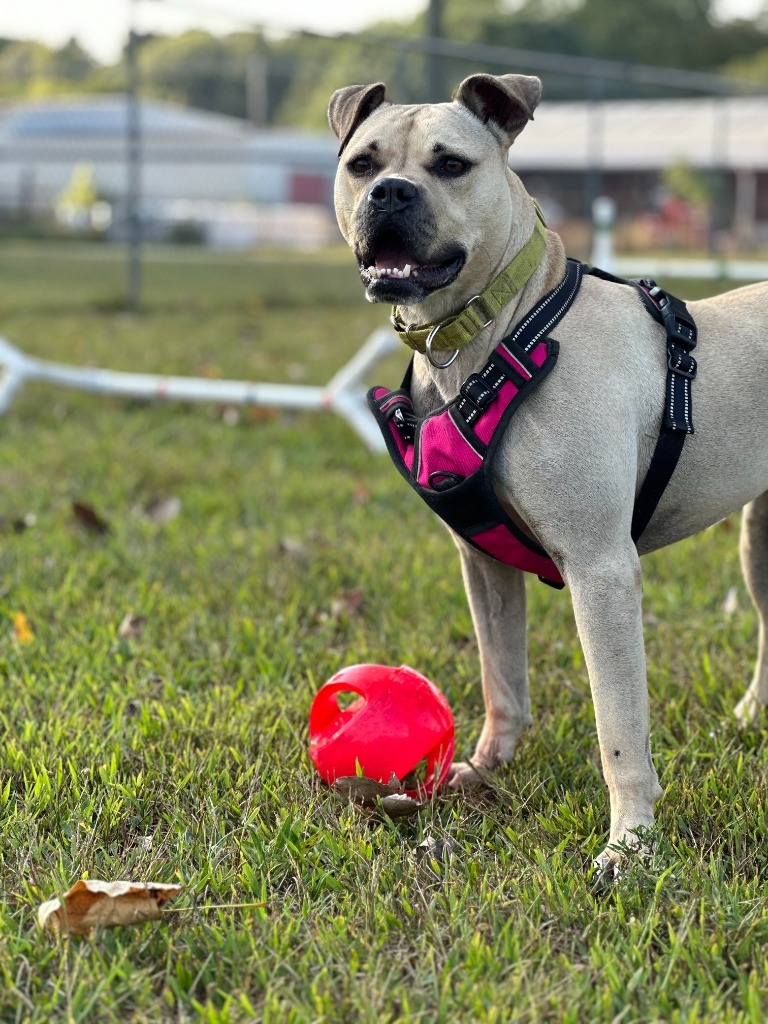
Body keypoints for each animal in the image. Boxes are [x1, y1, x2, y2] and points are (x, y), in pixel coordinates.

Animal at [327, 74, 768, 872]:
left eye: (451, 165)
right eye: (362, 164)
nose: (391, 194)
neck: (498, 332)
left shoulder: (601, 570)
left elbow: (619, 728)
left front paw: (631, 844)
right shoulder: (483, 563)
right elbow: (502, 678)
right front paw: (483, 768)